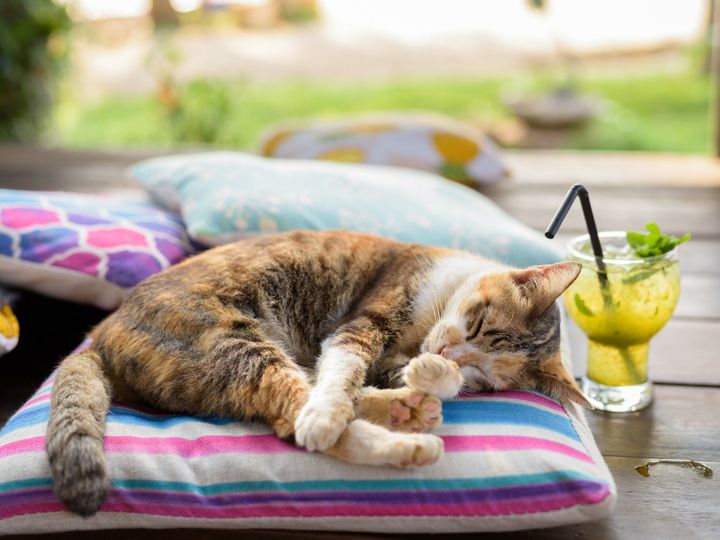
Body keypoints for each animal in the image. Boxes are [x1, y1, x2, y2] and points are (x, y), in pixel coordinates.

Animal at [47, 228, 592, 516]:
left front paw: (436, 376)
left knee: (297, 405)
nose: (447, 352)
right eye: (478, 322)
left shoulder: (388, 359)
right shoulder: (366, 323)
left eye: (483, 376)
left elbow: (374, 376)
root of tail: (102, 331)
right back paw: (403, 442)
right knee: (299, 413)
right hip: (235, 344)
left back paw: (409, 410)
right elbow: (343, 371)